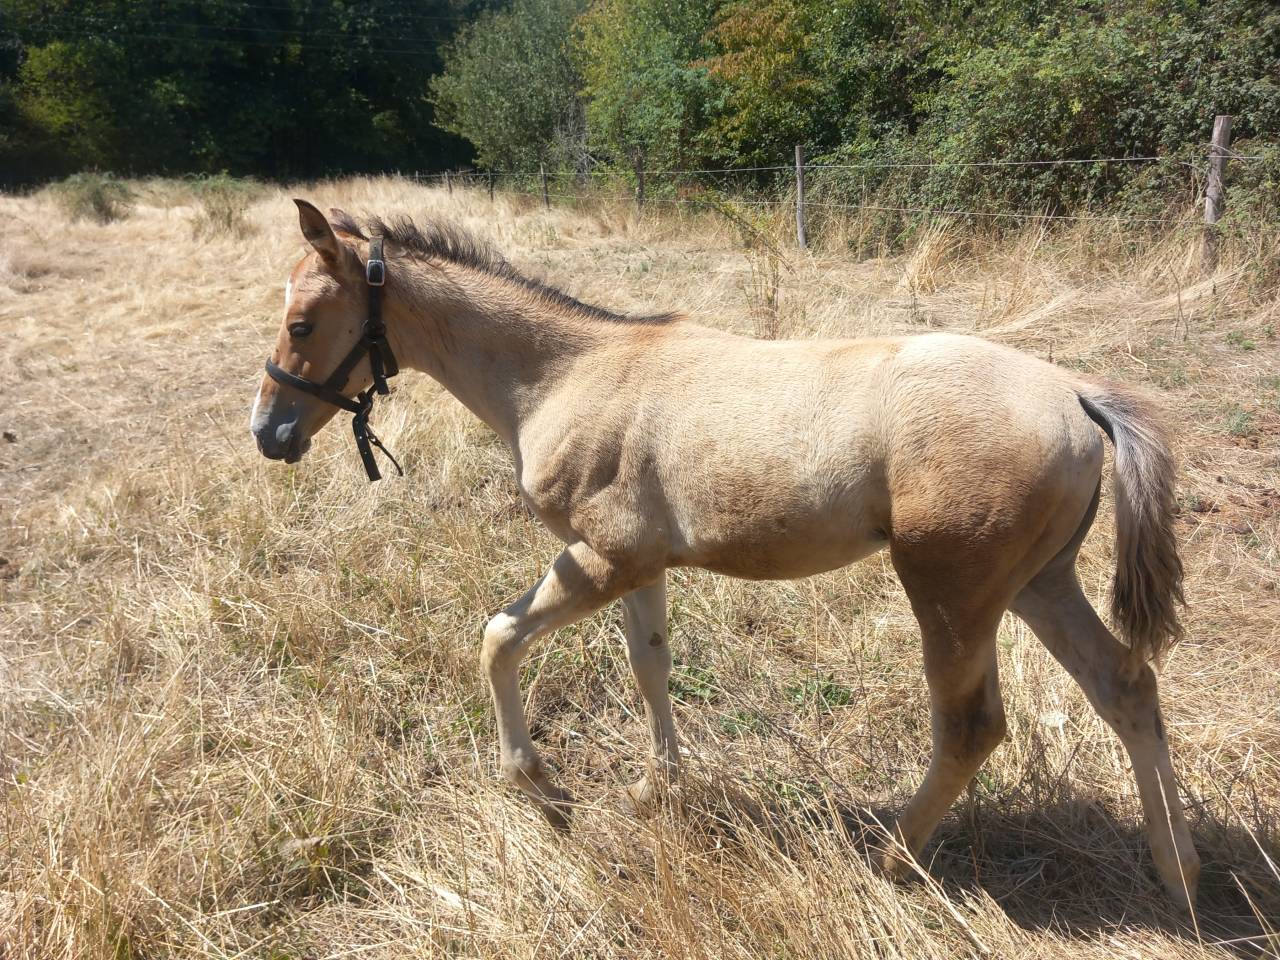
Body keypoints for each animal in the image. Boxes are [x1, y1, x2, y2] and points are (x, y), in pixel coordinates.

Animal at [250, 199, 1201, 910]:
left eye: (303, 322)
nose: (270, 434)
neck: (563, 375)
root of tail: (1075, 395)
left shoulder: (601, 558)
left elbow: (498, 637)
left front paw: (547, 794)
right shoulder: (641, 567)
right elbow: (649, 664)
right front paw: (655, 792)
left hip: (952, 590)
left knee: (972, 726)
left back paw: (890, 858)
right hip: (1039, 582)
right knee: (1126, 686)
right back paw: (1178, 874)